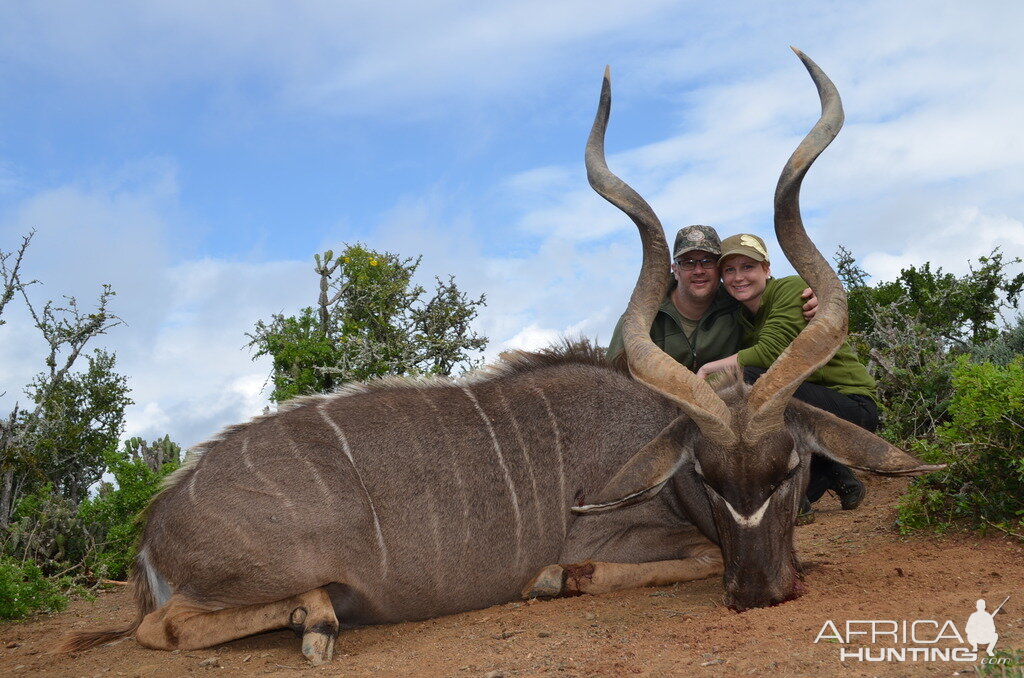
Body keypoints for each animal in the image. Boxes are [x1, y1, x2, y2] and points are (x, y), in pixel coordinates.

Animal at [64, 50, 942, 667]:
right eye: (709, 476)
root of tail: (157, 524)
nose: (758, 595)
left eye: (792, 469)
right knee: (164, 626)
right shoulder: (623, 540)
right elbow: (666, 560)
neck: (642, 435)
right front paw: (550, 580)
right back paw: (315, 619)